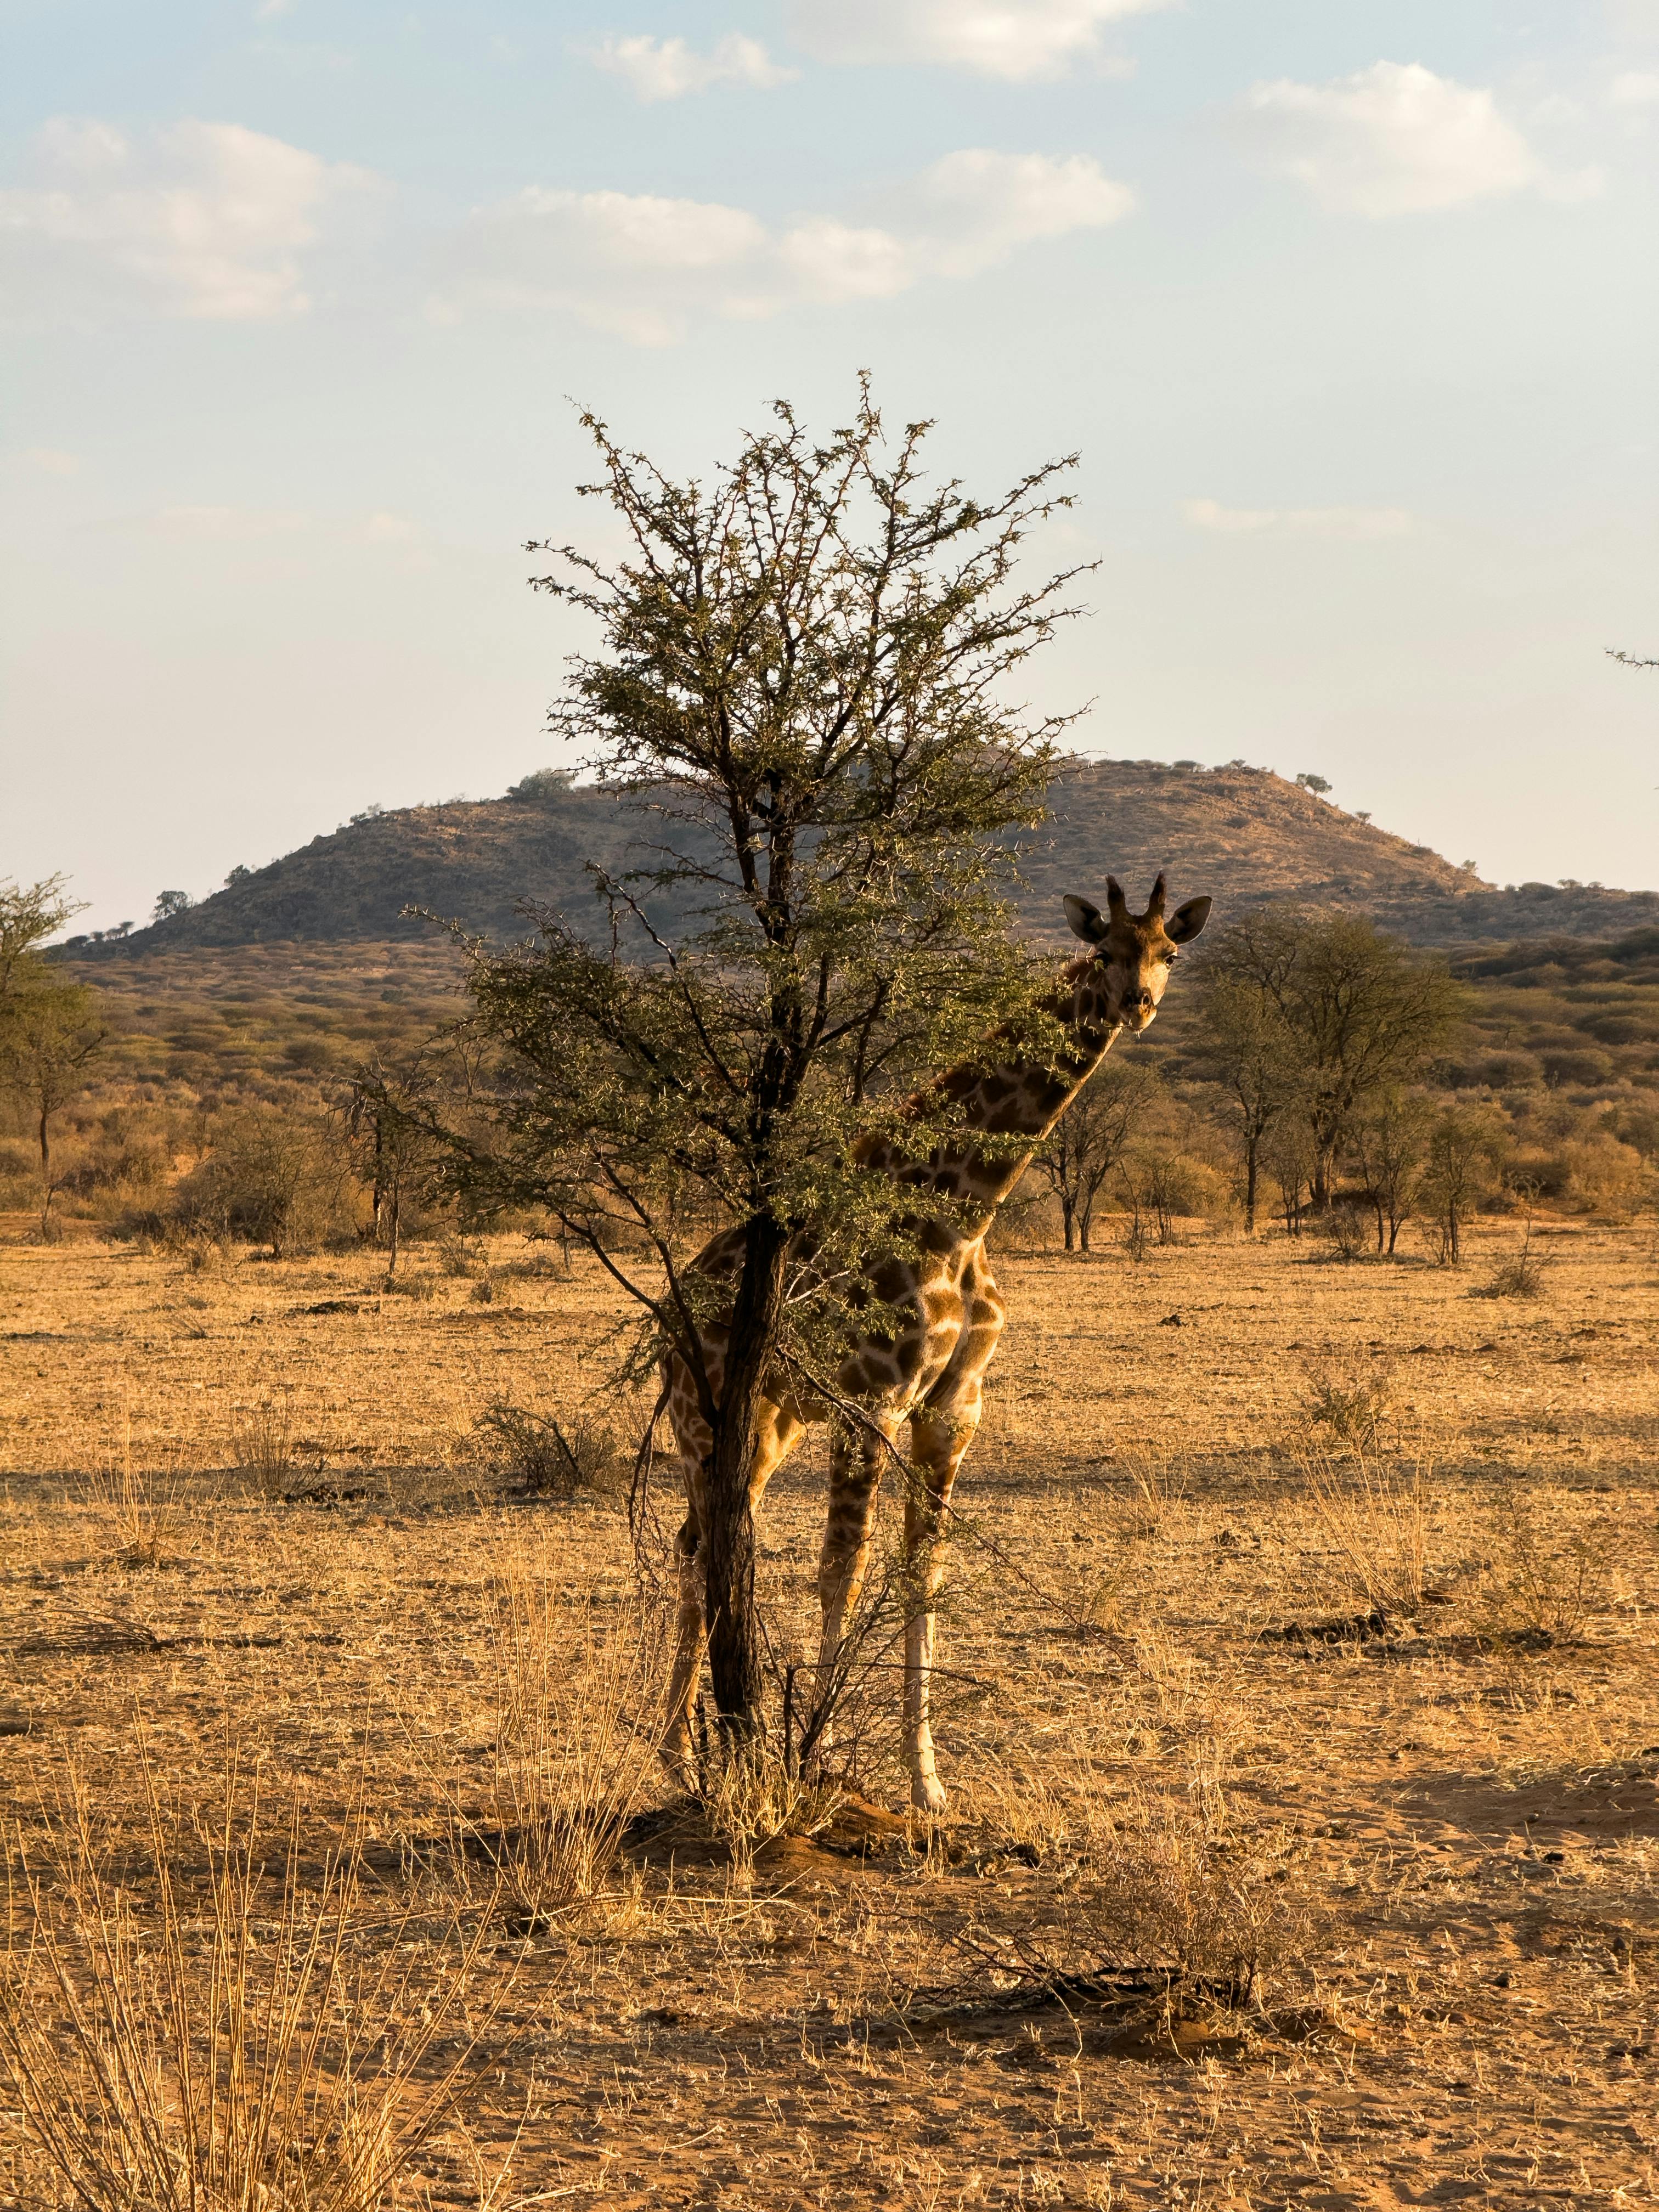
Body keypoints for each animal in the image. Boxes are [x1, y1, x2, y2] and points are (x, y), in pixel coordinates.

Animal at [659, 874, 1212, 1812]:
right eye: (1105, 950)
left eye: (1169, 952)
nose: (1137, 1003)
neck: (966, 1212)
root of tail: (670, 1310)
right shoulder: (873, 1401)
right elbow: (842, 1568)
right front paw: (815, 1754)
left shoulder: (952, 1411)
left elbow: (926, 1574)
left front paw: (926, 1781)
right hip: (706, 1414)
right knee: (701, 1548)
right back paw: (666, 1747)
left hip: (770, 1423)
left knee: (700, 1542)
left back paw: (670, 1748)